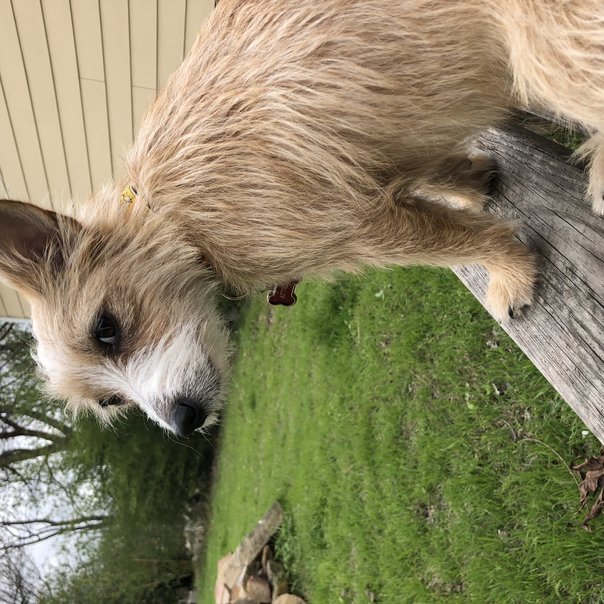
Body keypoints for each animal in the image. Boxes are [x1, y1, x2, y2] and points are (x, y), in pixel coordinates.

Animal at [1, 0, 603, 436]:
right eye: (110, 400)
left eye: (106, 329)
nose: (182, 423)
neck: (173, 213)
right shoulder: (379, 167)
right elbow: (434, 171)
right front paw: (473, 183)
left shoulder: (363, 228)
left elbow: (460, 241)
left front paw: (509, 272)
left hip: (554, 50)